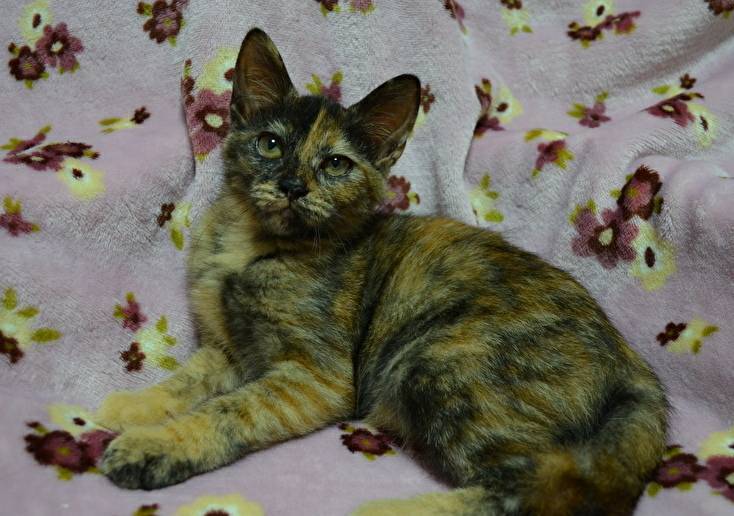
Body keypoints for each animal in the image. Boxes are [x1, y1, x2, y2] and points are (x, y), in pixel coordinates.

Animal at [96, 28, 667, 516]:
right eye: (271, 143)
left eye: (335, 164)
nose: (292, 186)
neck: (252, 245)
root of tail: (634, 367)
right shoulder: (230, 349)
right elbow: (187, 380)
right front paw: (132, 406)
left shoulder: (316, 376)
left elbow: (229, 410)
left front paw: (153, 446)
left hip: (437, 364)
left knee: (543, 489)